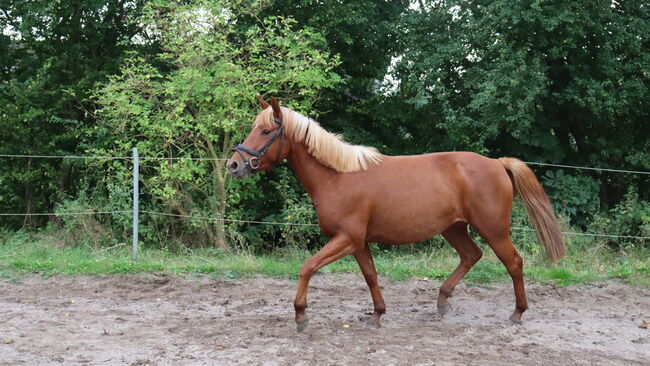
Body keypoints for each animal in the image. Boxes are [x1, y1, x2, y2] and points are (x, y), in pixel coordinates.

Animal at [228, 96, 560, 332]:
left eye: (266, 131)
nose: (234, 164)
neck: (338, 177)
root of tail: (497, 163)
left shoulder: (346, 238)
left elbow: (307, 268)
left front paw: (300, 316)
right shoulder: (359, 242)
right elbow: (371, 276)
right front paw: (377, 315)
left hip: (493, 229)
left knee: (513, 263)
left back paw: (517, 313)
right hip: (453, 228)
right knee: (471, 255)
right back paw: (442, 301)